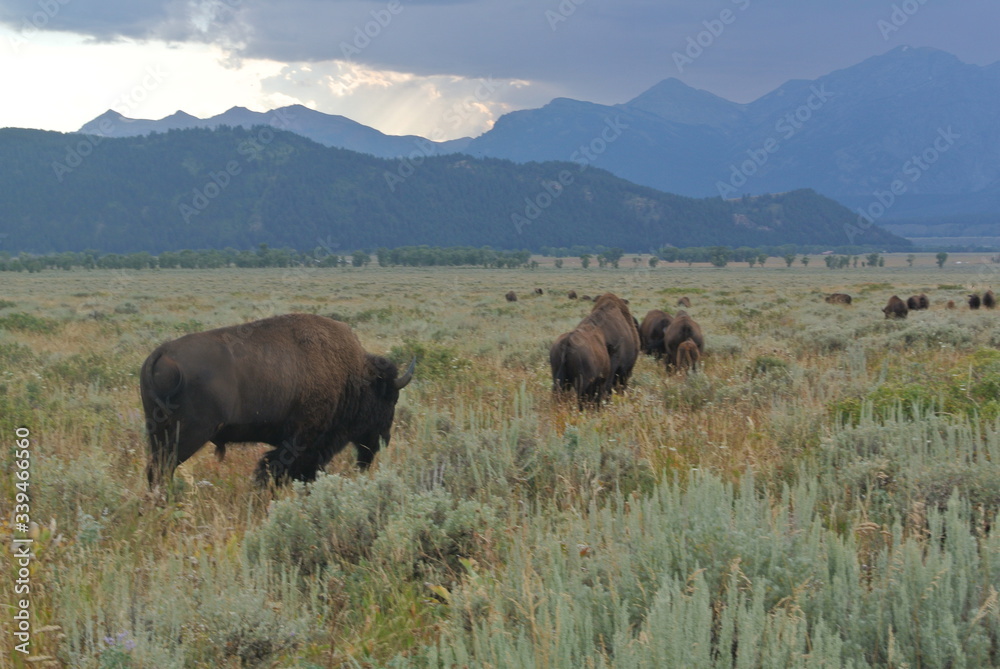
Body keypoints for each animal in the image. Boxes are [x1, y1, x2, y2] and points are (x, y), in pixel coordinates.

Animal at [141, 314, 414, 486]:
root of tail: (161, 352)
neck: (351, 375)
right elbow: (277, 469)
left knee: (155, 469)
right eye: (389, 399)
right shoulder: (301, 441)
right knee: (162, 469)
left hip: (157, 432)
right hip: (189, 434)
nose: (382, 441)